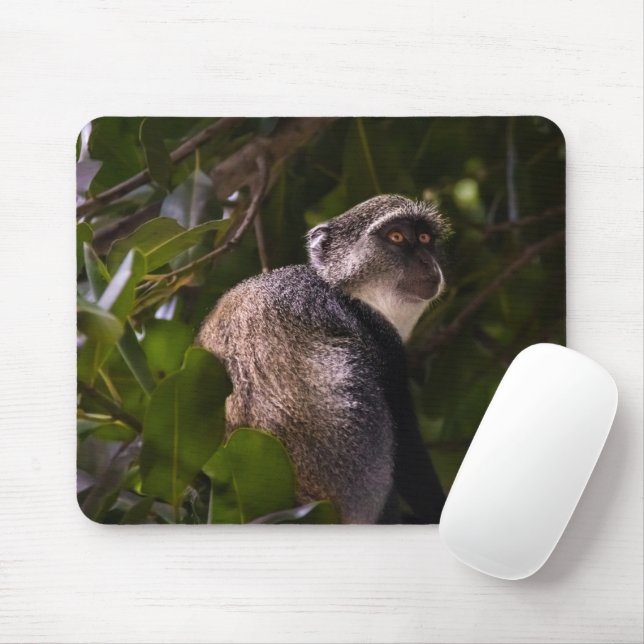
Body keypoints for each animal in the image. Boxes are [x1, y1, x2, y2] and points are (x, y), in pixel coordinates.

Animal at [197, 194, 450, 524]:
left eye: (425, 238)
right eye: (396, 237)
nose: (426, 261)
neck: (348, 291)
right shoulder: (382, 342)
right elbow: (407, 449)